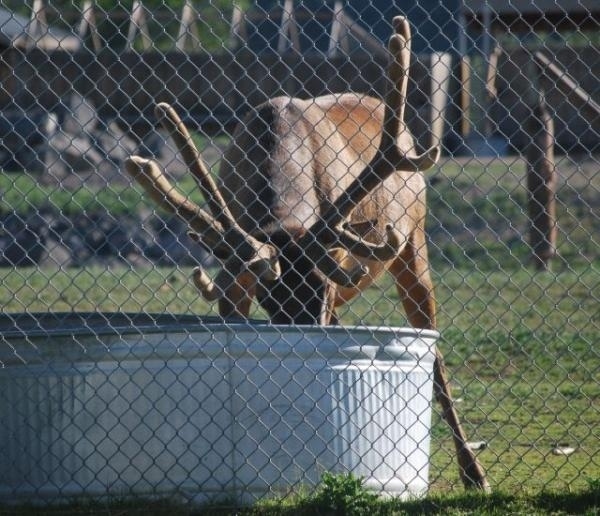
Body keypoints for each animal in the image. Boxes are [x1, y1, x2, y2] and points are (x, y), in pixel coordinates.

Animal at [124, 16, 490, 492]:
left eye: (321, 286)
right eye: (269, 298)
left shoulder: (335, 270)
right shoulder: (236, 276)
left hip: (414, 243)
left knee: (435, 353)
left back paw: (474, 472)